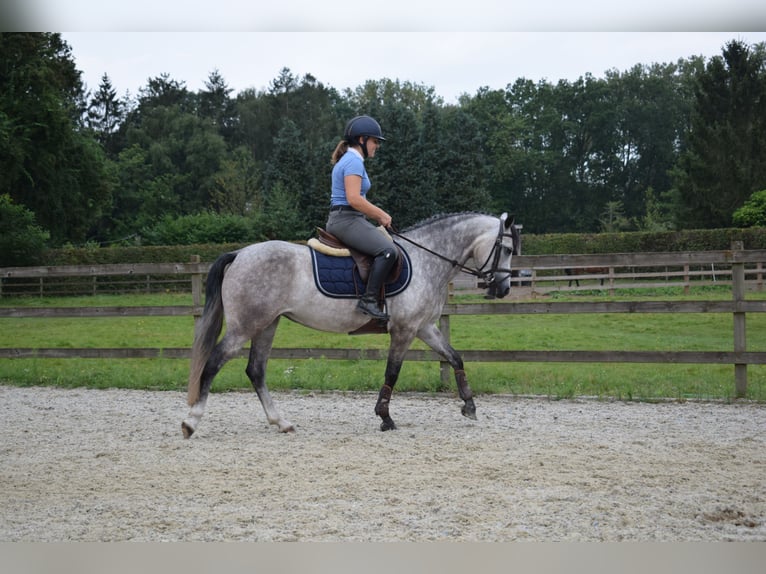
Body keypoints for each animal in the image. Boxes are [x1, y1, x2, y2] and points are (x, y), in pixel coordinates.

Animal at [183, 213, 520, 436]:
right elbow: (392, 372)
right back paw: (192, 421)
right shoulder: (404, 330)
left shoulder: (423, 327)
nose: (503, 289)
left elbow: (454, 357)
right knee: (213, 363)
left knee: (255, 370)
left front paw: (469, 405)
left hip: (267, 324)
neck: (427, 259)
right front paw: (385, 417)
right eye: (506, 249)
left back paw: (282, 422)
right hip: (245, 326)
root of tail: (240, 253)